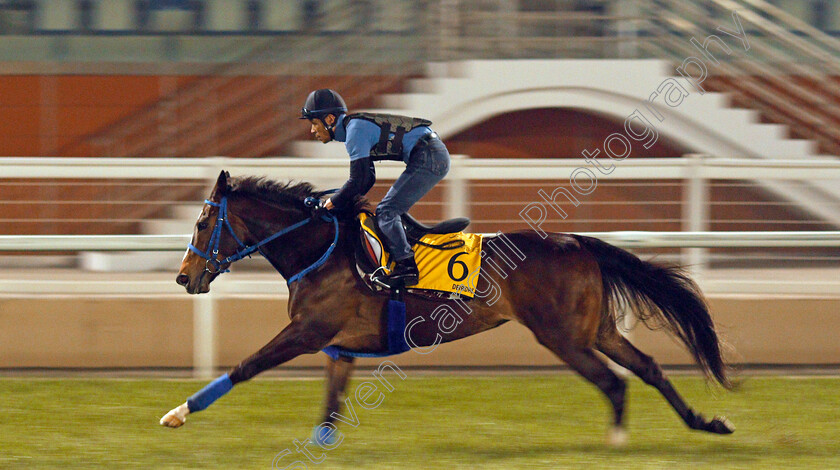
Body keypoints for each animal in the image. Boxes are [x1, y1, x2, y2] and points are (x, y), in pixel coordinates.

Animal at [159, 170, 736, 444]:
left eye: (203, 223)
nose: (184, 277)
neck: (320, 249)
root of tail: (578, 242)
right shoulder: (341, 346)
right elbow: (330, 407)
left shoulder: (307, 332)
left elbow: (245, 366)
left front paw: (178, 412)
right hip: (597, 330)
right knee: (650, 369)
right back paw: (706, 423)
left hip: (563, 336)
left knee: (614, 383)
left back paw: (617, 441)